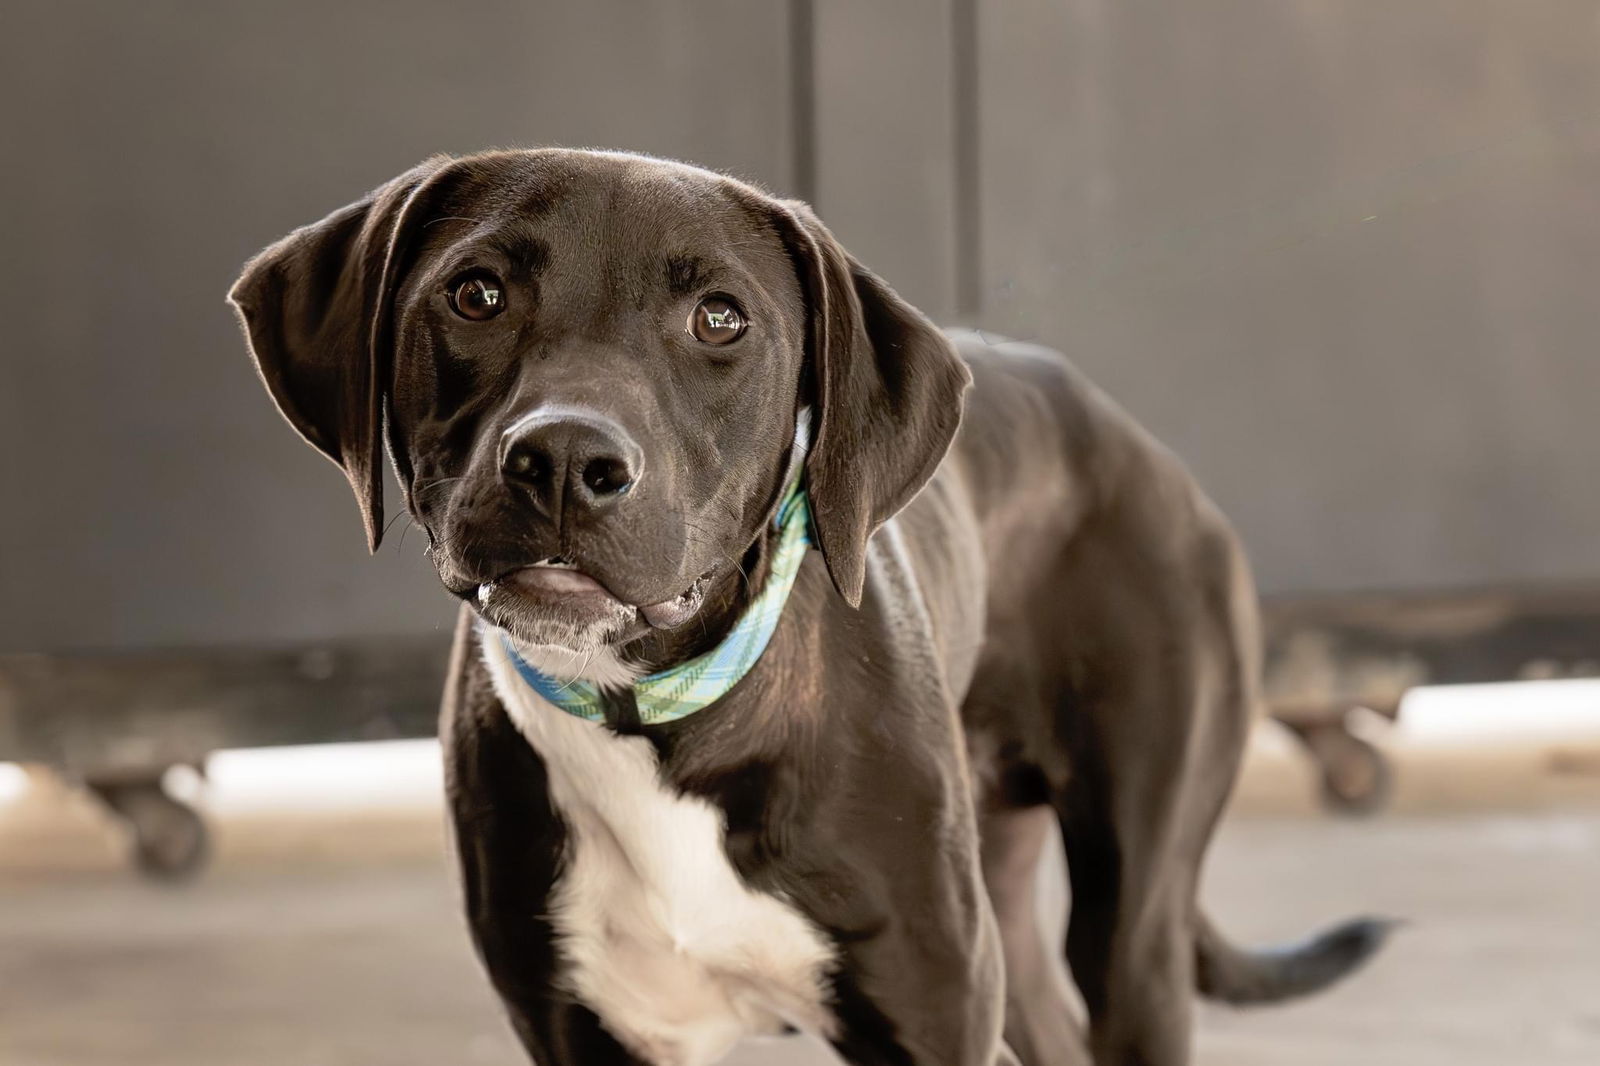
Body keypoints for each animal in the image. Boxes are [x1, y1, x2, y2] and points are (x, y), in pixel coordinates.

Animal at [228, 147, 1388, 1062]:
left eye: (719, 318)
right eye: (475, 295)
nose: (563, 459)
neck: (656, 717)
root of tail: (1135, 438)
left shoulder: (931, 1011)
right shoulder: (583, 1025)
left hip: (1132, 927)